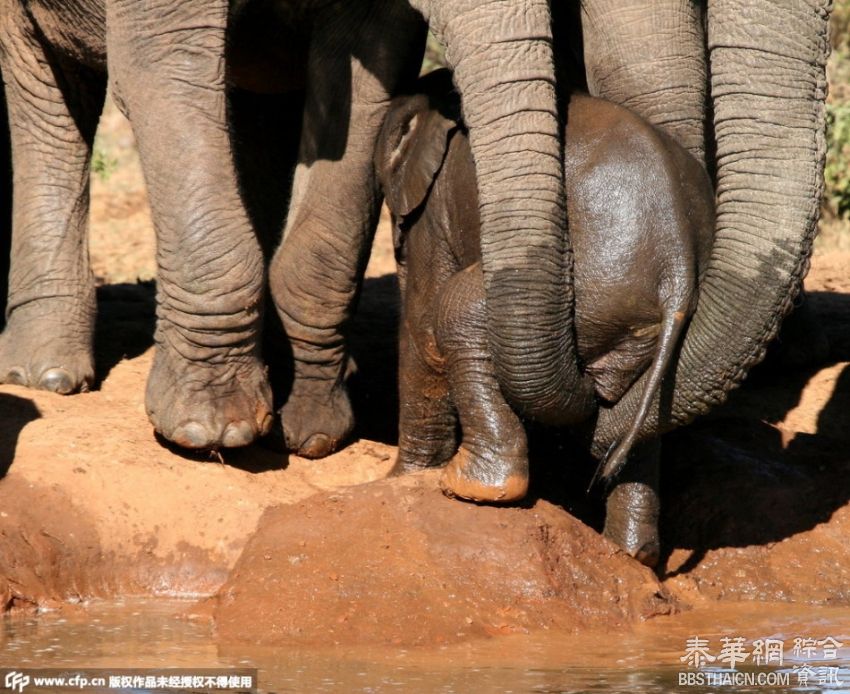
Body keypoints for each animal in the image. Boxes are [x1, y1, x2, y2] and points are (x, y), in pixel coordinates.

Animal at [374, 70, 712, 568]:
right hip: (629, 318)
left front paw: (398, 481)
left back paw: (470, 487)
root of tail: (677, 266)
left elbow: (423, 331)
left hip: (592, 287)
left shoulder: (433, 214)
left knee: (455, 311)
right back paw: (631, 554)